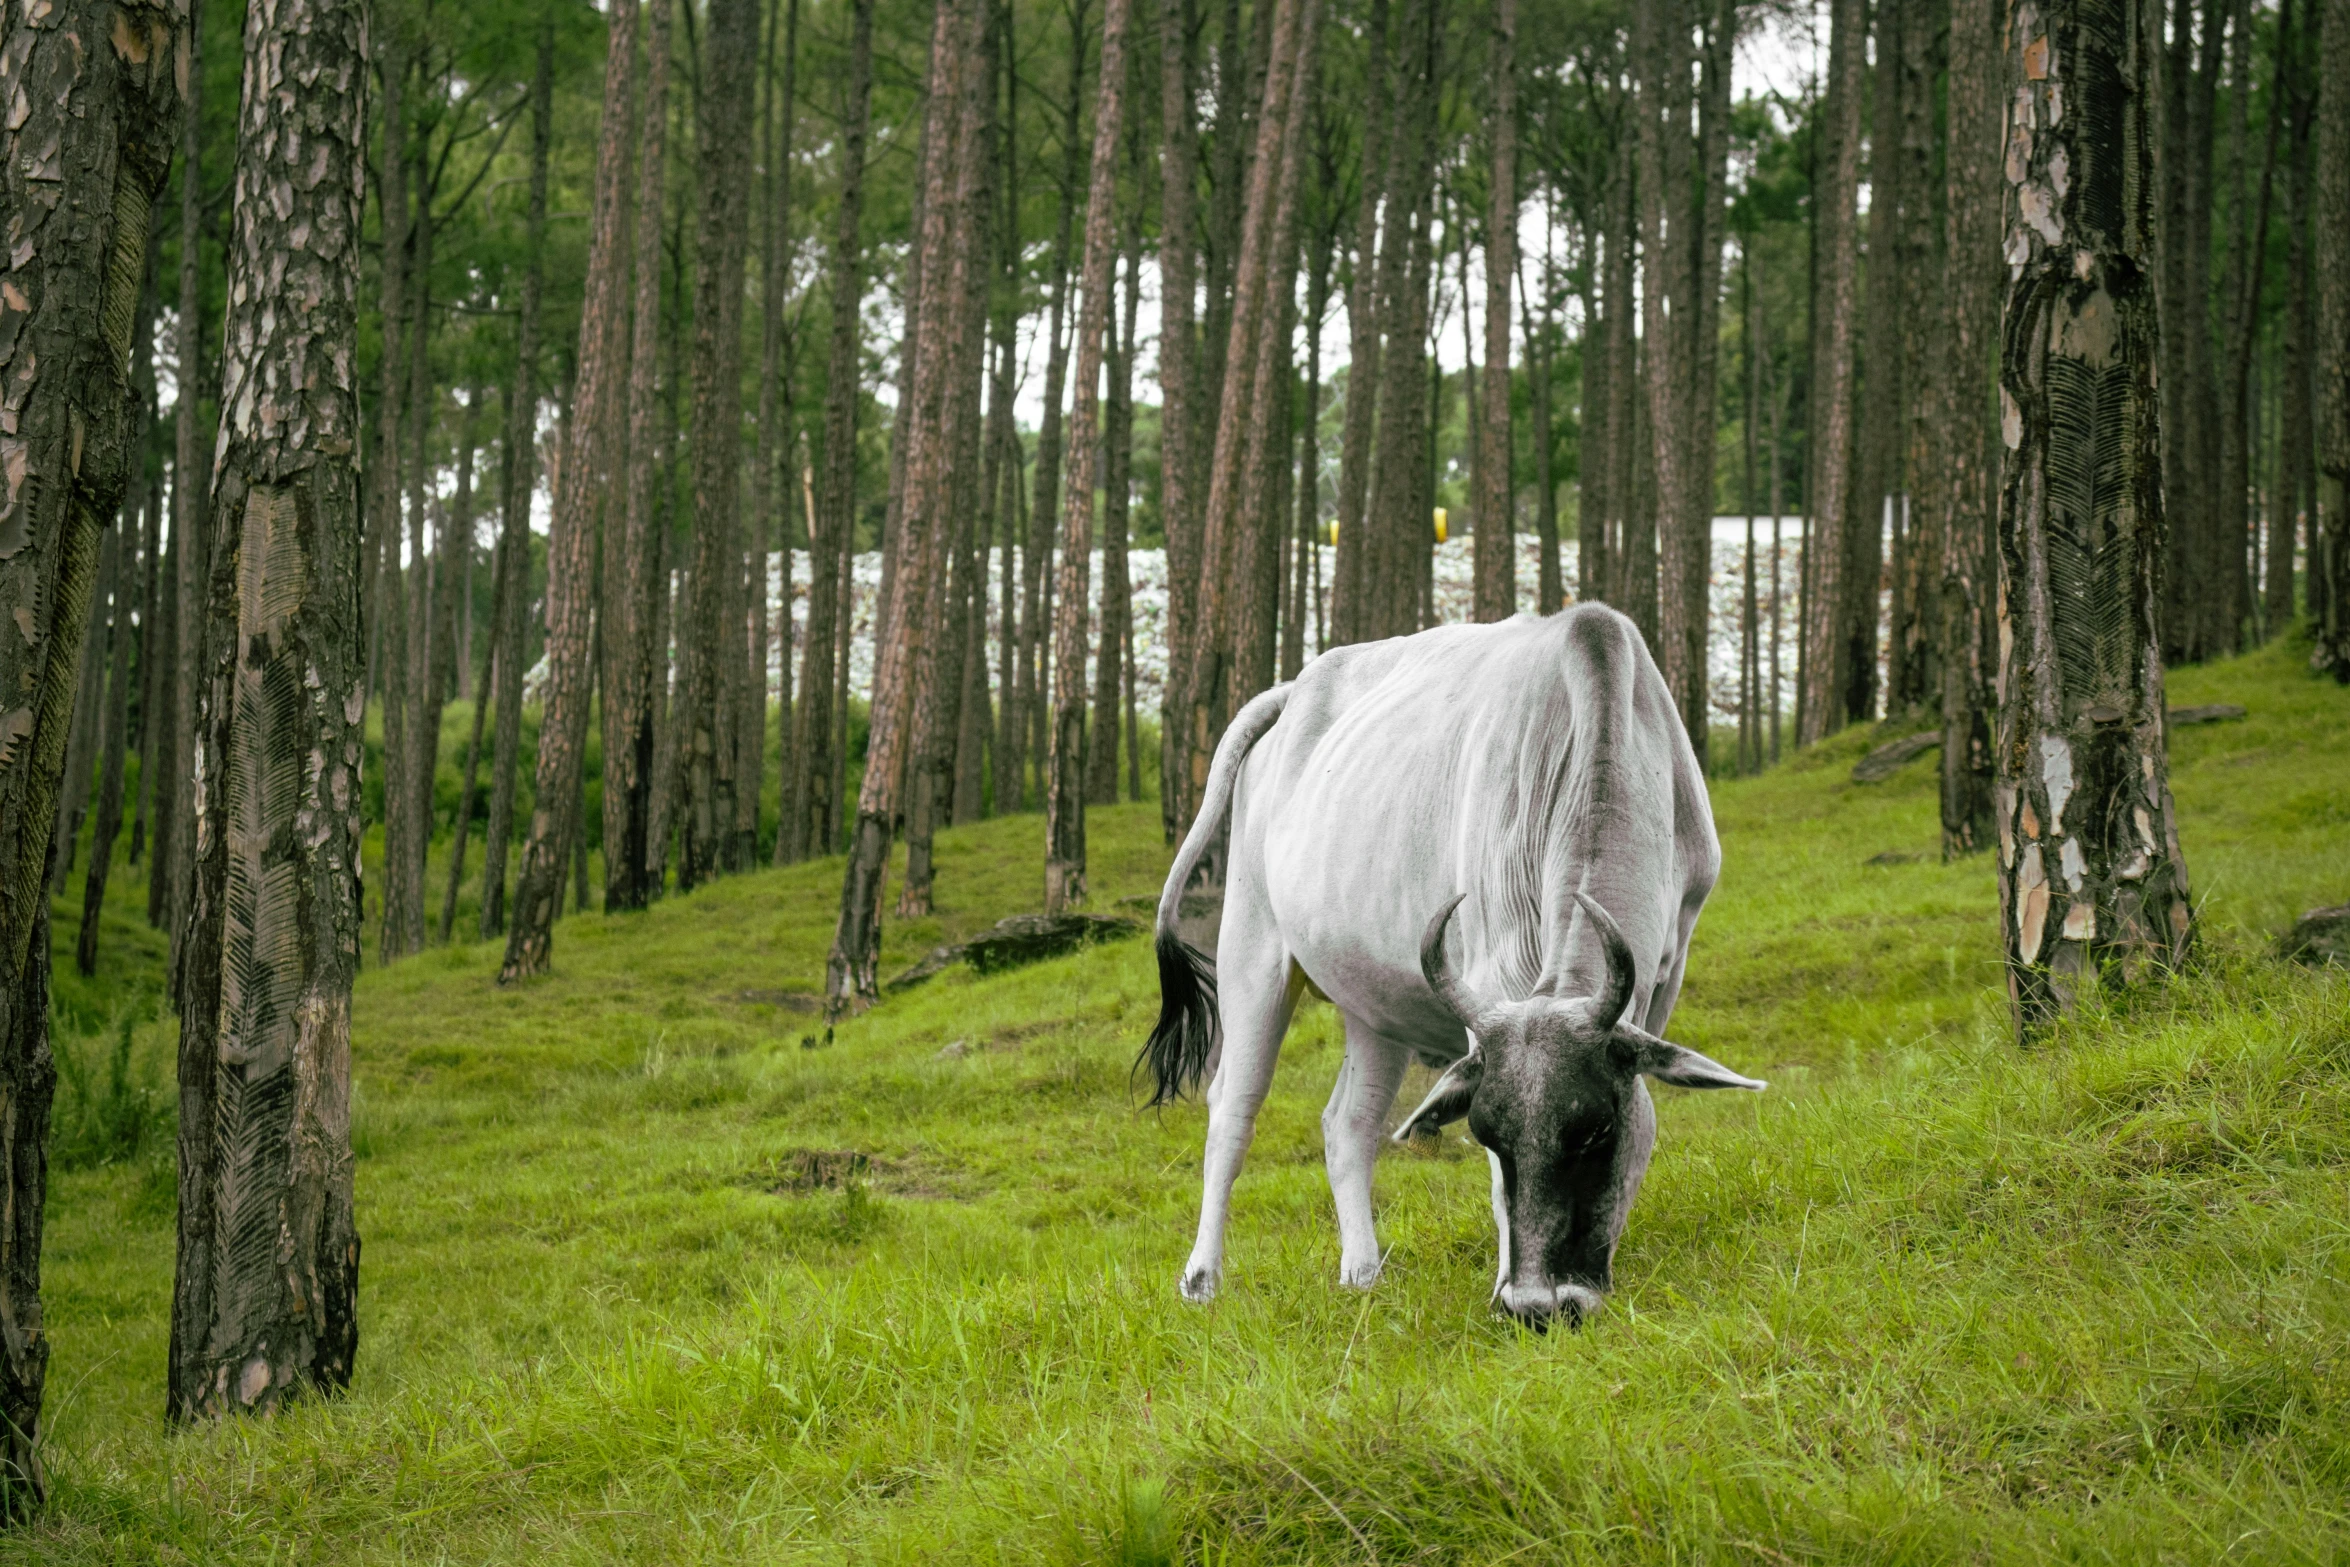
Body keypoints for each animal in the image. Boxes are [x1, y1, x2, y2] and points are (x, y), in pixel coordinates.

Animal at [1137, 606, 1767, 1325]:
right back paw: (1203, 1277)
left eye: (1595, 1130)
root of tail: (1293, 690)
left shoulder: (1668, 966)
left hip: (1372, 1002)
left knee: (1349, 1122)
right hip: (1252, 949)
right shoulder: (1490, 975)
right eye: (1488, 1132)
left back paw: (1362, 1272)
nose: (1535, 1306)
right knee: (1232, 1109)